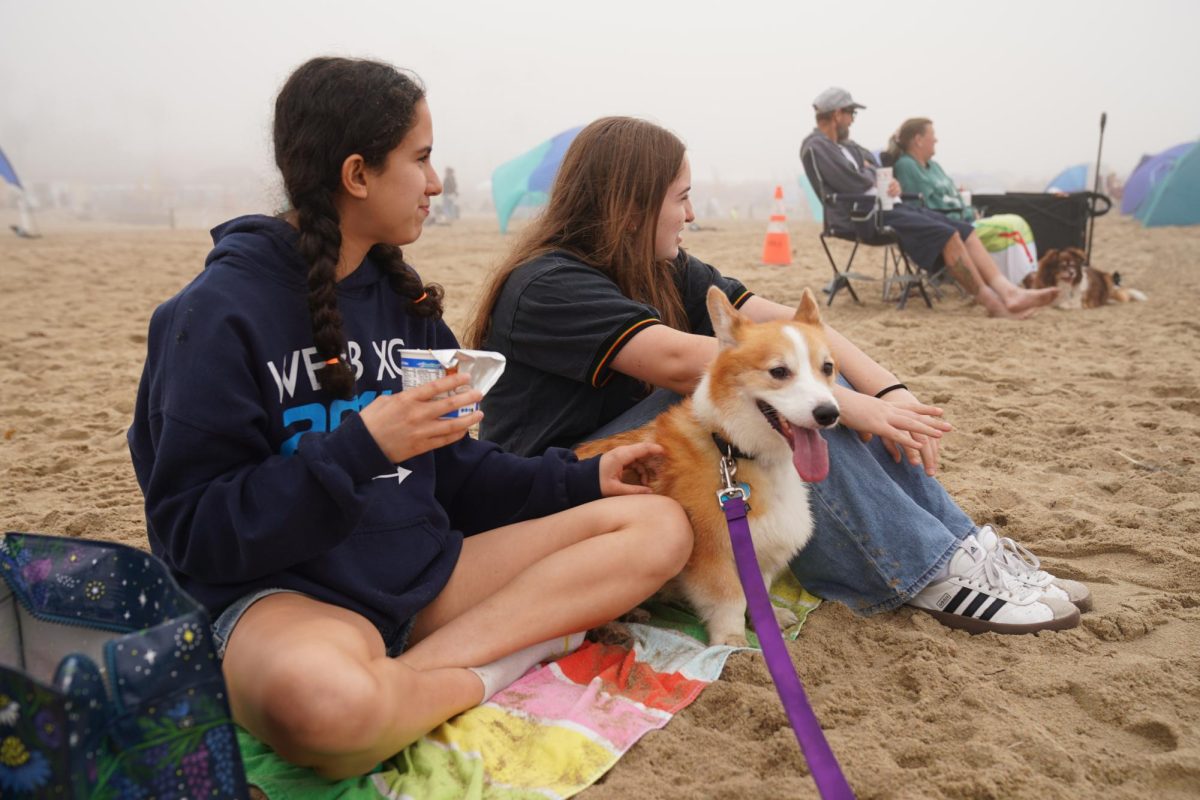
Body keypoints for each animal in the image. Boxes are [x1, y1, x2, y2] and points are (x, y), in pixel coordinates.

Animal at [576, 286, 840, 642]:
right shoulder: (711, 556)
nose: (829, 413)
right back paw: (615, 629)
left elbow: (759, 593)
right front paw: (732, 642)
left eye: (827, 368)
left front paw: (769, 620)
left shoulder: (760, 549)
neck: (731, 447)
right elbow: (731, 599)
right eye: (779, 372)